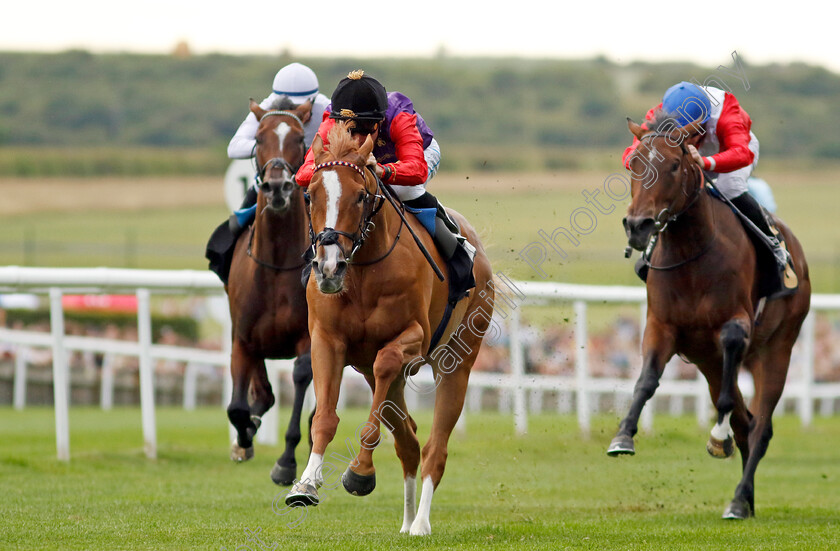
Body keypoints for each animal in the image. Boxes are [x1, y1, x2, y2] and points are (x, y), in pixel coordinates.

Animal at [284, 123, 492, 536]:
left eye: (361, 195)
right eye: (310, 194)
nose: (328, 267)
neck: (363, 270)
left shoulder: (411, 339)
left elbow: (384, 373)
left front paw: (360, 473)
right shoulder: (327, 340)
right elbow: (324, 418)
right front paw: (306, 484)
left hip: (457, 362)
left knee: (434, 447)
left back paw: (421, 522)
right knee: (408, 441)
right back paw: (408, 520)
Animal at [608, 116, 812, 520]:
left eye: (674, 165)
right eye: (634, 163)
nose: (638, 225)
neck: (692, 253)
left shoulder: (736, 324)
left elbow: (731, 355)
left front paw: (718, 438)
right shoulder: (661, 326)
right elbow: (646, 380)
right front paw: (623, 436)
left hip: (777, 347)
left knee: (760, 426)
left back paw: (738, 497)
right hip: (707, 361)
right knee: (746, 422)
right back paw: (746, 500)